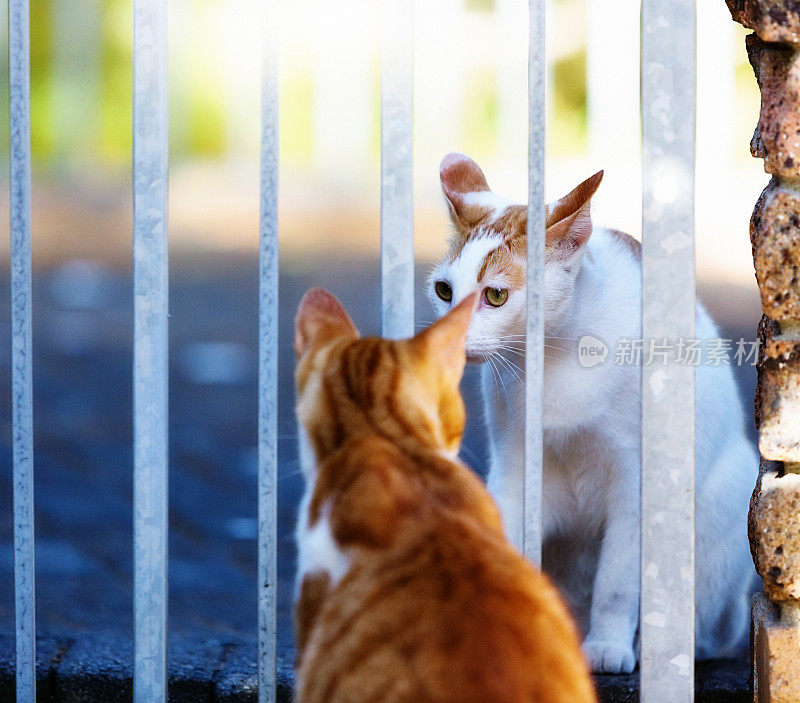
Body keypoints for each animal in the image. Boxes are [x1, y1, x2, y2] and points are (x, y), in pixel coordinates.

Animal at [424, 155, 756, 676]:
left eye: (495, 296)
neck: (556, 360)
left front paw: (609, 645)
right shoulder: (514, 468)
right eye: (443, 290)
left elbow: (617, 582)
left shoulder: (634, 484)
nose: (449, 337)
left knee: (711, 630)